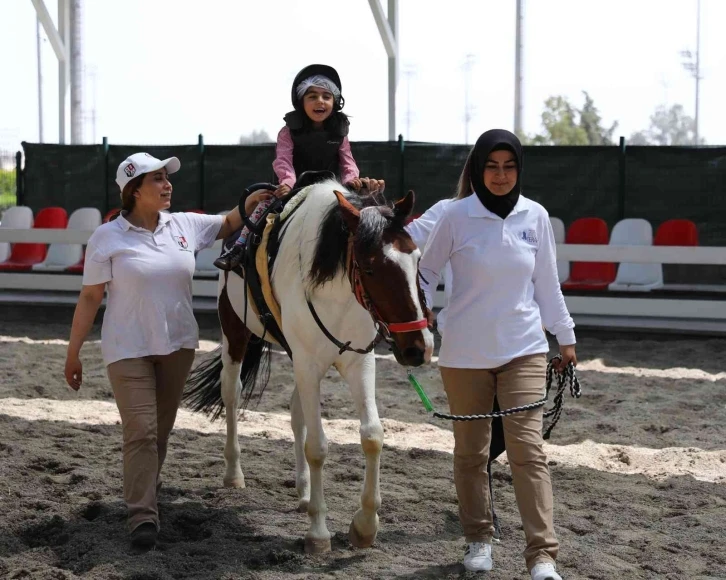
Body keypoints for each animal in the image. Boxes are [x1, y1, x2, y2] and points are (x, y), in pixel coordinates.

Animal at [183, 179, 432, 556]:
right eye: (370, 268)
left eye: (417, 260)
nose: (417, 348)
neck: (337, 290)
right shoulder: (307, 362)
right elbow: (318, 446)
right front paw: (318, 532)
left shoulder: (358, 362)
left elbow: (372, 436)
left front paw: (365, 526)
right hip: (236, 332)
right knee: (232, 394)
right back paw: (234, 473)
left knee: (296, 410)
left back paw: (302, 492)